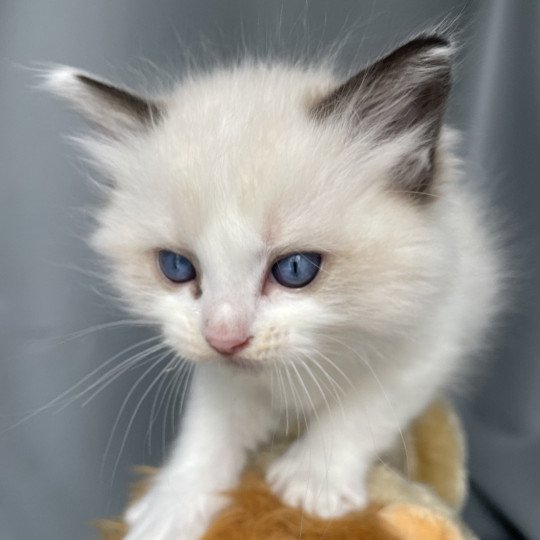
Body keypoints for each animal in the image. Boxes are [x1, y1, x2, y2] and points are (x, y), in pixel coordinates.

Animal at [46, 34, 502, 540]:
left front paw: (310, 486)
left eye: (296, 269)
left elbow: (361, 412)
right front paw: (174, 504)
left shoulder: (429, 341)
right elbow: (209, 430)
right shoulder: (220, 371)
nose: (224, 338)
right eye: (177, 267)